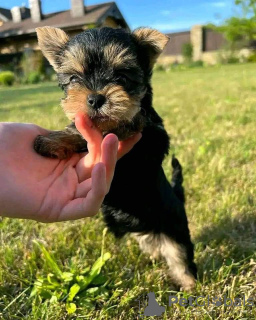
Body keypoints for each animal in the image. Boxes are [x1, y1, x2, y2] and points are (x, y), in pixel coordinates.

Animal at [34, 26, 197, 292]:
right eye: (74, 79)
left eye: (121, 76)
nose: (95, 98)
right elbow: (76, 130)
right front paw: (54, 140)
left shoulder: (153, 139)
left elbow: (134, 122)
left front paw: (123, 122)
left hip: (173, 225)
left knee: (179, 254)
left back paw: (189, 284)